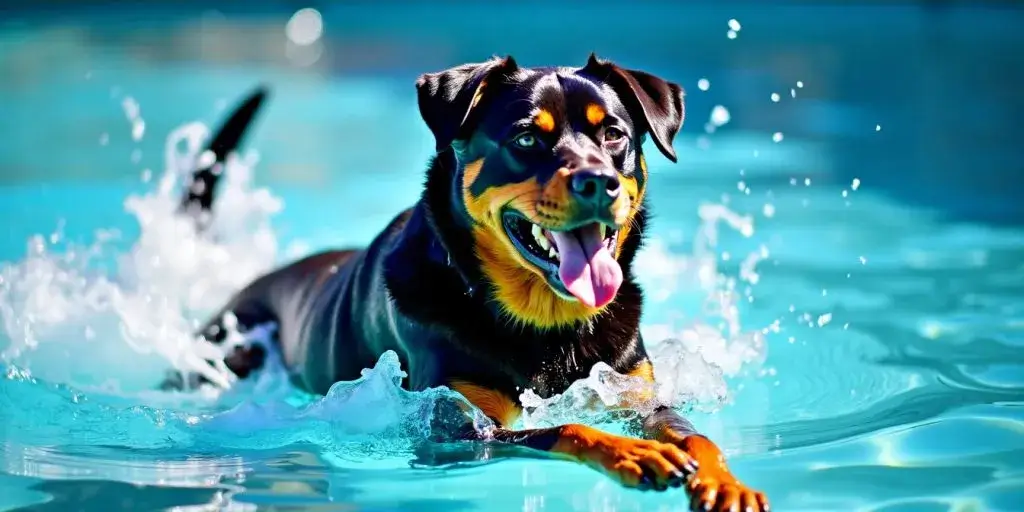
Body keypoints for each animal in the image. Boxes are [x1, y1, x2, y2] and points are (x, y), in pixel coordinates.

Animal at [172, 56, 770, 512]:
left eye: (614, 134)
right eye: (526, 138)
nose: (598, 181)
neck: (547, 323)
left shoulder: (633, 391)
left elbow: (696, 434)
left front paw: (726, 482)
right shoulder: (454, 427)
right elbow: (562, 430)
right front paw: (634, 454)